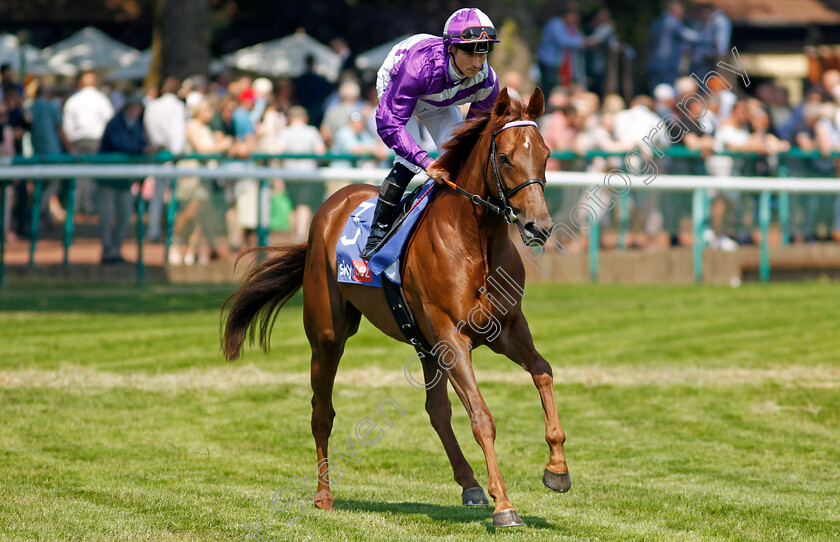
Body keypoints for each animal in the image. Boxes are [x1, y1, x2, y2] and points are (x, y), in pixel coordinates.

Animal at [221, 88, 572, 528]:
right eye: (506, 157)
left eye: (546, 154)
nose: (538, 226)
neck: (475, 242)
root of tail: (331, 206)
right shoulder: (451, 335)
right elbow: (481, 417)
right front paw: (504, 505)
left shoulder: (506, 328)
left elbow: (543, 372)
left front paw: (557, 469)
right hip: (327, 335)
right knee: (322, 412)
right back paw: (323, 496)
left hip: (423, 343)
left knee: (436, 409)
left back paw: (469, 484)